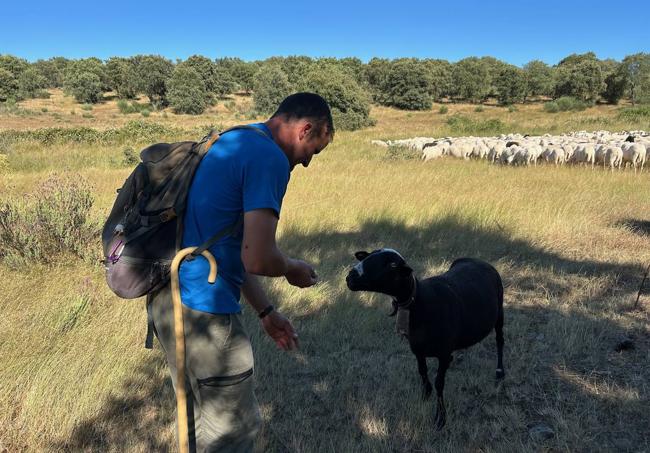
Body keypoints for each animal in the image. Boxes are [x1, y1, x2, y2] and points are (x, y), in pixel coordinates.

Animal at [346, 249, 504, 430]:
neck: (421, 303)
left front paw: (440, 418)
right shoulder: (417, 349)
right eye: (368, 255)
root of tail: (480, 261)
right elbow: (422, 372)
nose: (349, 277)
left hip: (499, 311)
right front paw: (425, 395)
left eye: (390, 265)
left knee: (500, 340)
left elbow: (439, 383)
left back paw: (500, 372)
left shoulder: (443, 353)